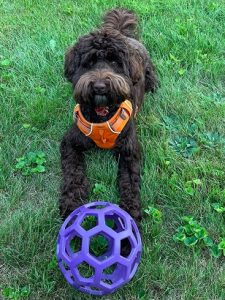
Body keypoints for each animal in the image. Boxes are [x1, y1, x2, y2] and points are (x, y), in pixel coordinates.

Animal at [60, 8, 158, 224]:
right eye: (88, 63)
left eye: (115, 62)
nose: (99, 86)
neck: (102, 114)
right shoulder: (70, 143)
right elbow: (73, 172)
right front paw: (71, 202)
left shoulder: (130, 152)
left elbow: (130, 182)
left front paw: (130, 214)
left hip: (147, 67)